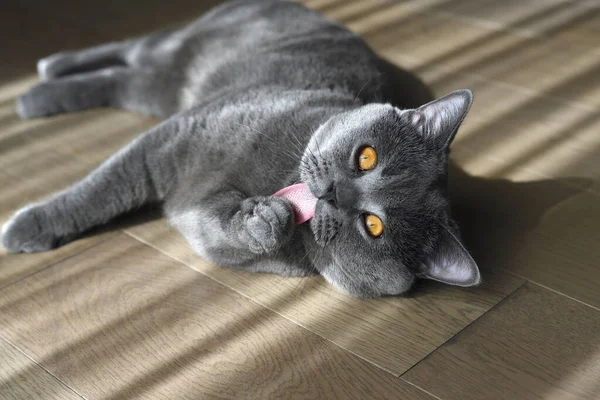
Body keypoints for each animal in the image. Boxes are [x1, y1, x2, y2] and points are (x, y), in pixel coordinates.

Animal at [0, 0, 480, 296]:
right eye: (367, 157)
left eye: (373, 226)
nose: (334, 193)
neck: (278, 177)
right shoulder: (170, 140)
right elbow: (99, 191)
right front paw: (26, 227)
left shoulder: (205, 223)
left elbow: (214, 227)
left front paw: (264, 221)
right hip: (178, 55)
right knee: (129, 49)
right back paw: (43, 76)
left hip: (159, 89)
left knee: (121, 79)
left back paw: (38, 93)